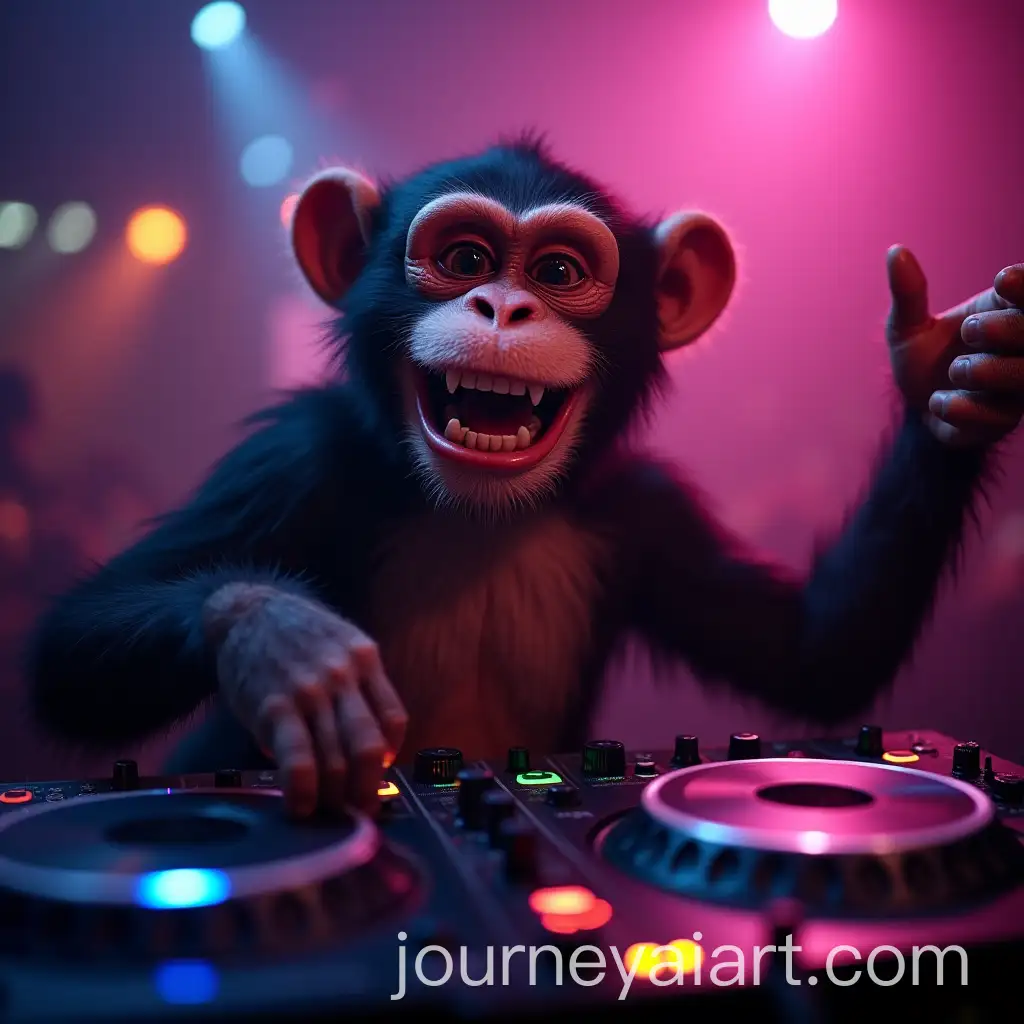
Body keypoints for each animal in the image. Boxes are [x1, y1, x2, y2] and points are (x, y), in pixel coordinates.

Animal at [24, 138, 1024, 818]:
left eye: (558, 270)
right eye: (464, 258)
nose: (503, 307)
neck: (479, 515)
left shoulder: (643, 510)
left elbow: (813, 655)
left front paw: (946, 372)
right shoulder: (292, 459)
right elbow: (70, 644)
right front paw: (282, 642)